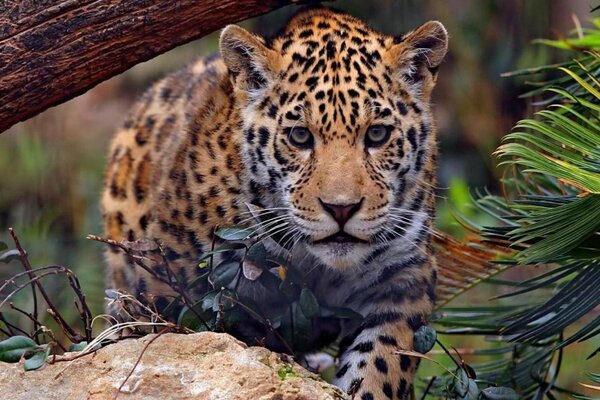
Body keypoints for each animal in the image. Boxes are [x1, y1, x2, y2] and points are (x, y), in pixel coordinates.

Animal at [101, 7, 448, 400]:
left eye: (377, 134)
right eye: (299, 136)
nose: (341, 209)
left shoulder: (403, 276)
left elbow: (381, 361)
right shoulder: (168, 286)